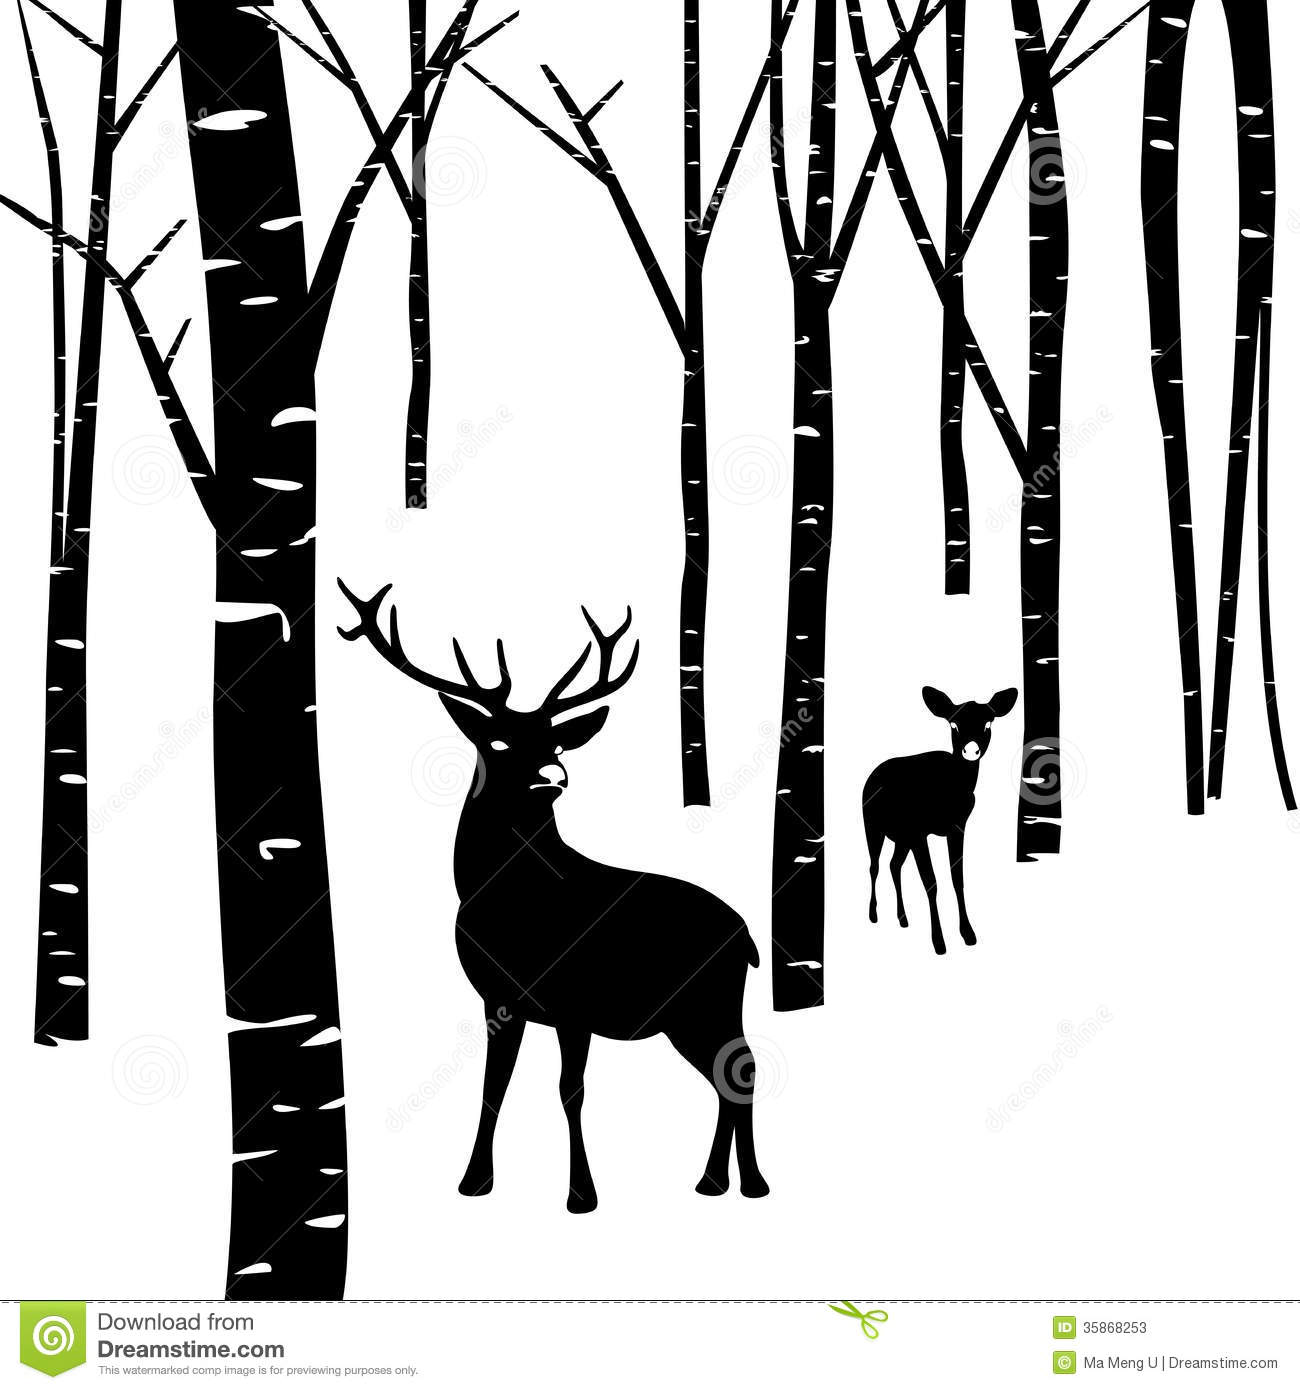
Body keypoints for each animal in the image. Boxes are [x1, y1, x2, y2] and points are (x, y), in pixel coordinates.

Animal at [337, 581, 769, 1212]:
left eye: (557, 743)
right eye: (497, 740)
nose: (552, 776)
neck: (511, 899)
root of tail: (749, 939)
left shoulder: (574, 999)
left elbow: (571, 1090)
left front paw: (582, 1194)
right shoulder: (498, 999)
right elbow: (494, 1086)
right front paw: (474, 1182)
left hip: (709, 998)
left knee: (742, 1068)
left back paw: (750, 1183)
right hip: (688, 1012)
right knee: (727, 1073)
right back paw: (714, 1182)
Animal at [863, 686, 1018, 956]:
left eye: (988, 723)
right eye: (953, 724)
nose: (971, 751)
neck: (952, 789)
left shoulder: (957, 828)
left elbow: (958, 878)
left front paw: (968, 933)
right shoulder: (919, 833)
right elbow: (931, 882)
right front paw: (939, 942)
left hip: (901, 838)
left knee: (894, 865)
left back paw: (903, 918)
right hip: (873, 828)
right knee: (875, 866)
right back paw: (873, 915)